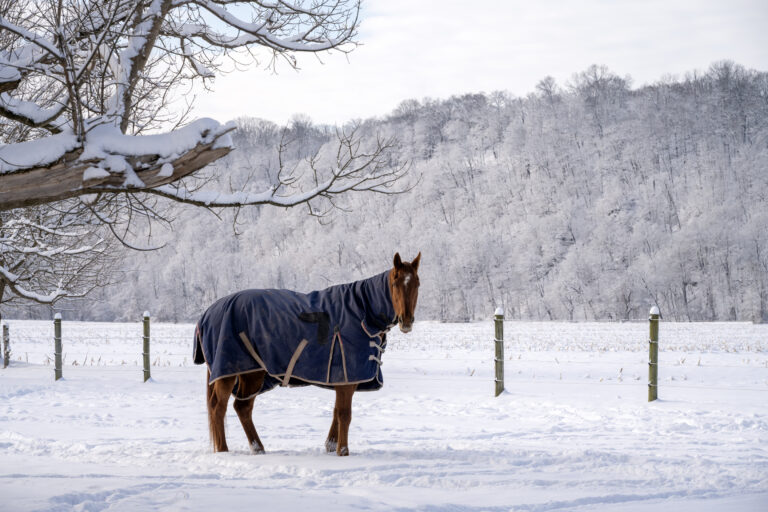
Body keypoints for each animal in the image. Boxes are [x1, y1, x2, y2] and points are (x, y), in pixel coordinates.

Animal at [193, 252, 420, 456]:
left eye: (417, 284)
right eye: (395, 283)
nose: (406, 321)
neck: (361, 313)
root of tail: (207, 313)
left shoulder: (341, 380)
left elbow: (336, 413)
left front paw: (331, 447)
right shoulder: (346, 377)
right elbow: (344, 415)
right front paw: (343, 452)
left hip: (252, 373)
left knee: (242, 407)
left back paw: (258, 449)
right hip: (228, 372)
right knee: (218, 408)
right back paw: (223, 451)